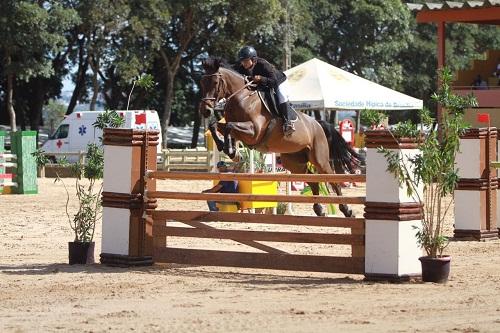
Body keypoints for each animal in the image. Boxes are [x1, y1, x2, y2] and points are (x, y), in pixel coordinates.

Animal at [197, 57, 362, 217]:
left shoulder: (254, 132)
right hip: (294, 162)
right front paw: (228, 149)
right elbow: (215, 126)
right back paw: (319, 209)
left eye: (215, 82)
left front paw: (231, 151)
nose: (205, 111)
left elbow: (230, 127)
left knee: (331, 179)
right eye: (202, 83)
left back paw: (346, 210)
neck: (242, 97)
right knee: (312, 180)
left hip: (319, 159)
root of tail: (318, 124)